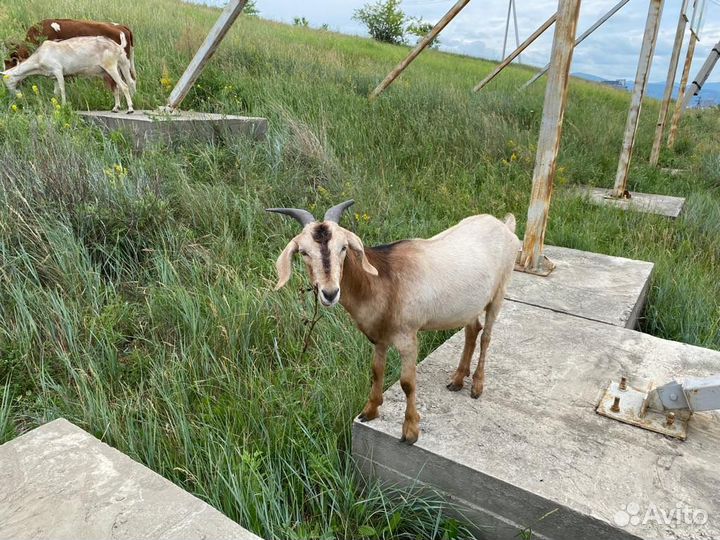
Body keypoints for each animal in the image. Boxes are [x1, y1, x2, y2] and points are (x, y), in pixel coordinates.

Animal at [2, 35, 134, 113]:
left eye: (7, 79)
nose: (14, 95)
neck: (39, 58)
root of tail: (118, 46)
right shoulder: (53, 77)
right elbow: (55, 92)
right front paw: (55, 106)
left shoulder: (58, 70)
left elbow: (62, 89)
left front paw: (64, 106)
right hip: (115, 68)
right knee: (118, 87)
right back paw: (116, 108)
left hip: (111, 66)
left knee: (124, 86)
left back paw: (130, 109)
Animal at [268, 200, 520, 444]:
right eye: (303, 252)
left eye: (343, 247)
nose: (330, 293)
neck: (383, 280)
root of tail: (504, 226)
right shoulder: (379, 337)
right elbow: (376, 371)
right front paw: (369, 411)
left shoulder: (408, 338)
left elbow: (407, 383)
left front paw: (410, 431)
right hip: (470, 306)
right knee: (472, 330)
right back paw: (457, 380)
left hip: (500, 291)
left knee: (486, 336)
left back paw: (476, 386)